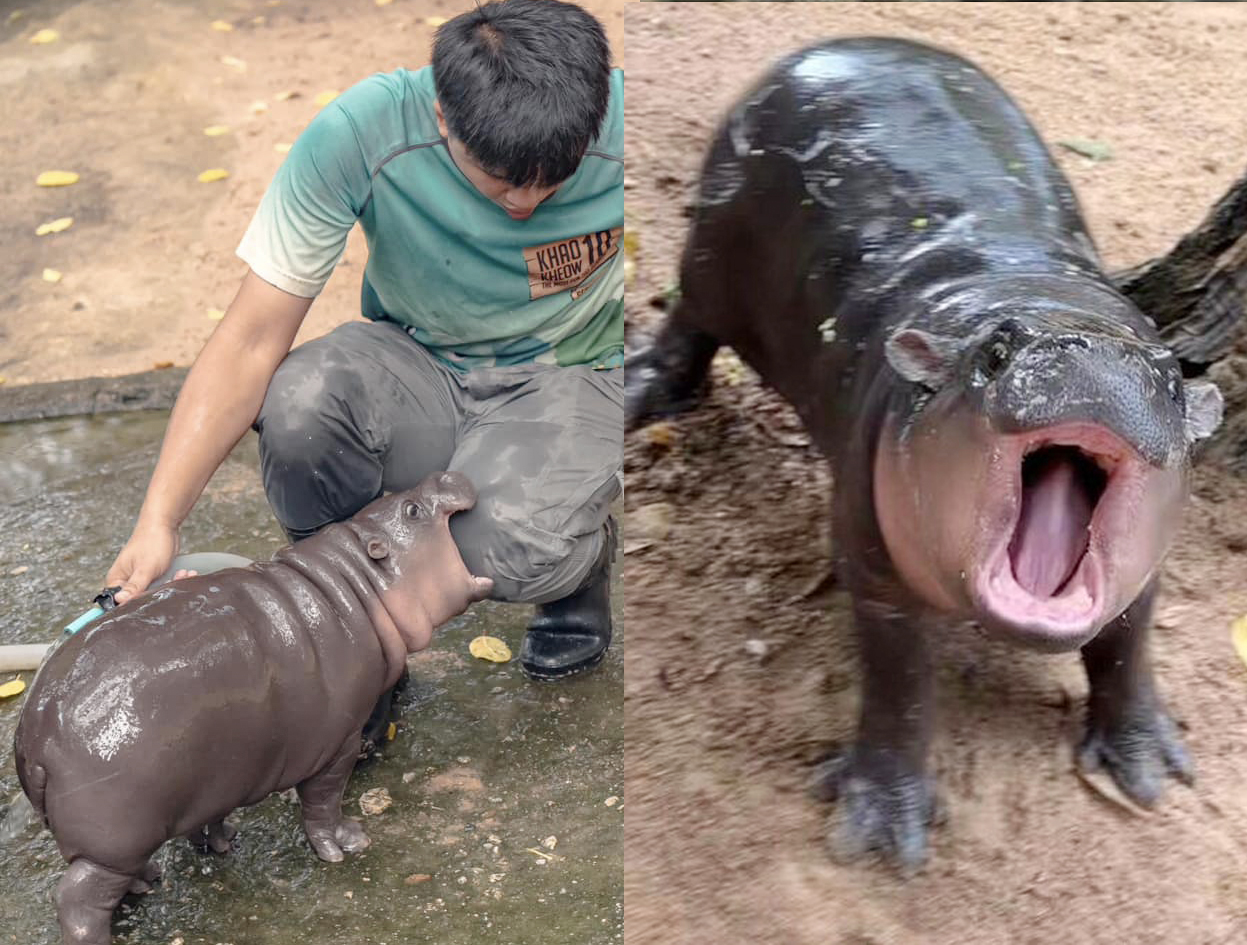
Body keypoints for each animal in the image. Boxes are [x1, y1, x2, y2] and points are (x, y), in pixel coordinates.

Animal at [15, 471, 491, 942]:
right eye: (412, 511)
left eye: (397, 499)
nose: (447, 473)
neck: (357, 584)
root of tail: (32, 737)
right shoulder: (337, 745)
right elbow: (323, 803)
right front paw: (347, 844)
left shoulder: (220, 773)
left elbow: (212, 814)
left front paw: (222, 841)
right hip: (112, 840)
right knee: (77, 902)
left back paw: (149, 880)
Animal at [628, 38, 1222, 872]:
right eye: (995, 352)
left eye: (1171, 377)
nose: (1092, 361)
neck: (1045, 296)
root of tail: (833, 44)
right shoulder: (872, 557)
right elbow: (899, 680)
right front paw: (879, 830)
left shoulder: (1140, 572)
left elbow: (1126, 649)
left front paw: (1146, 767)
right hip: (710, 252)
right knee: (686, 319)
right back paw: (639, 393)